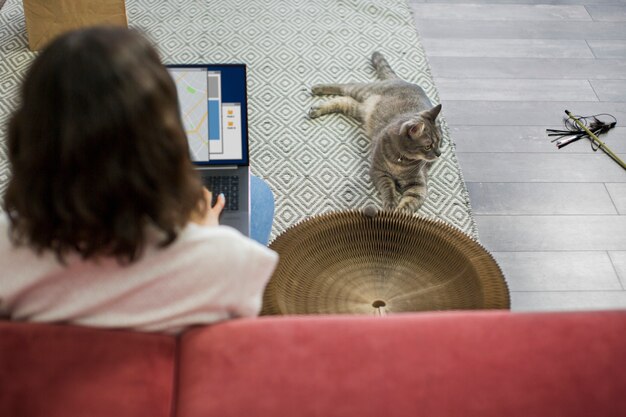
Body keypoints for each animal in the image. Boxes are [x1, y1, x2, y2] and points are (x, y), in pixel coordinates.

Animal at [310, 52, 442, 213]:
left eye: (440, 141)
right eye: (428, 146)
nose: (439, 153)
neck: (401, 161)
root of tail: (401, 80)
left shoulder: (418, 186)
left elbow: (408, 204)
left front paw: (399, 213)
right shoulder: (378, 172)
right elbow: (388, 189)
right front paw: (391, 204)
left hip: (359, 109)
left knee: (343, 100)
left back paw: (318, 108)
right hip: (362, 91)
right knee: (346, 86)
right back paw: (318, 88)